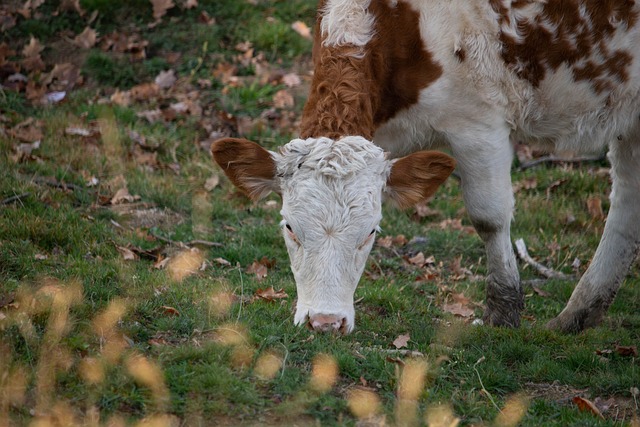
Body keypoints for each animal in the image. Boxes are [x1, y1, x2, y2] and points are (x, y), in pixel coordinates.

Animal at [214, 0, 640, 334]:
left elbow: (489, 217)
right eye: (289, 227)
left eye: (371, 232)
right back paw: (577, 316)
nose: (326, 322)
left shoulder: (479, 123)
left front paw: (502, 312)